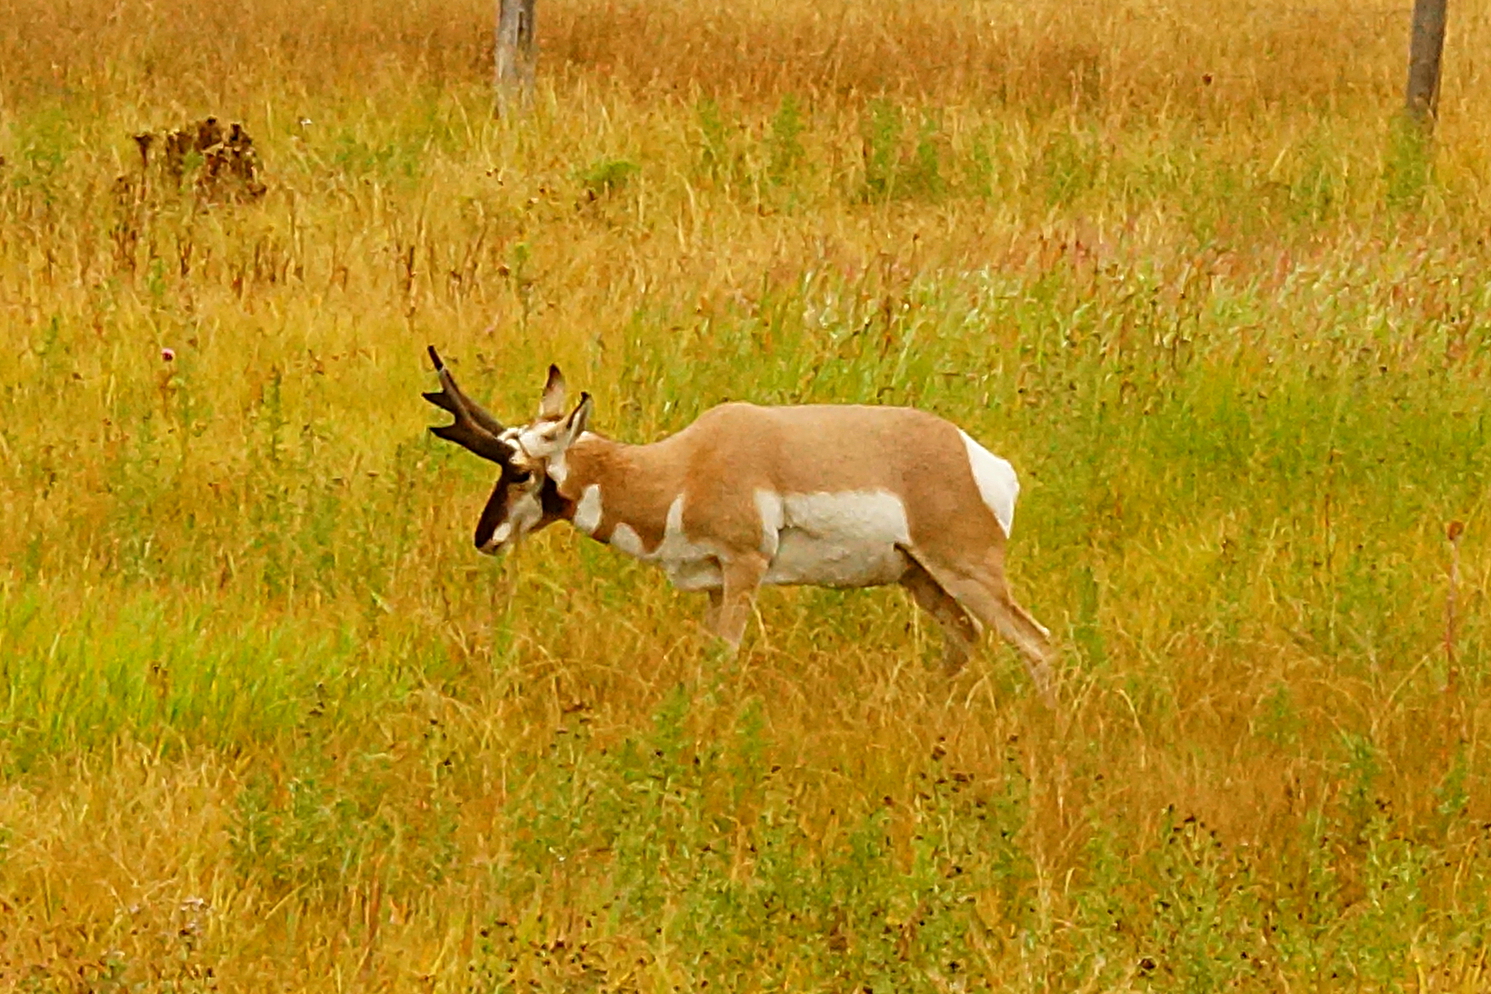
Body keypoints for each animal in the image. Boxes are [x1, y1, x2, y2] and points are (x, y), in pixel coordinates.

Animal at [420, 350, 1049, 700]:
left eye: (521, 471)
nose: (485, 538)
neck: (684, 466)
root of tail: (979, 459)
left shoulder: (745, 569)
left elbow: (723, 662)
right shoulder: (714, 585)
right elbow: (705, 662)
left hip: (966, 571)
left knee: (1037, 644)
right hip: (918, 576)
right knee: (965, 638)